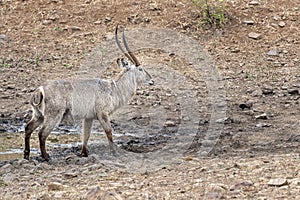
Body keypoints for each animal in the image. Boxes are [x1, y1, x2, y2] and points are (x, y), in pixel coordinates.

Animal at [24, 25, 154, 161]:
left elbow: (86, 135)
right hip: (53, 116)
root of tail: (40, 89)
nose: (151, 80)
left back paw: (26, 155)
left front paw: (83, 154)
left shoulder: (88, 117)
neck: (113, 88)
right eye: (140, 69)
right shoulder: (103, 114)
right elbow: (109, 131)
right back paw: (46, 157)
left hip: (38, 115)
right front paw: (114, 152)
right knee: (42, 134)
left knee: (28, 128)